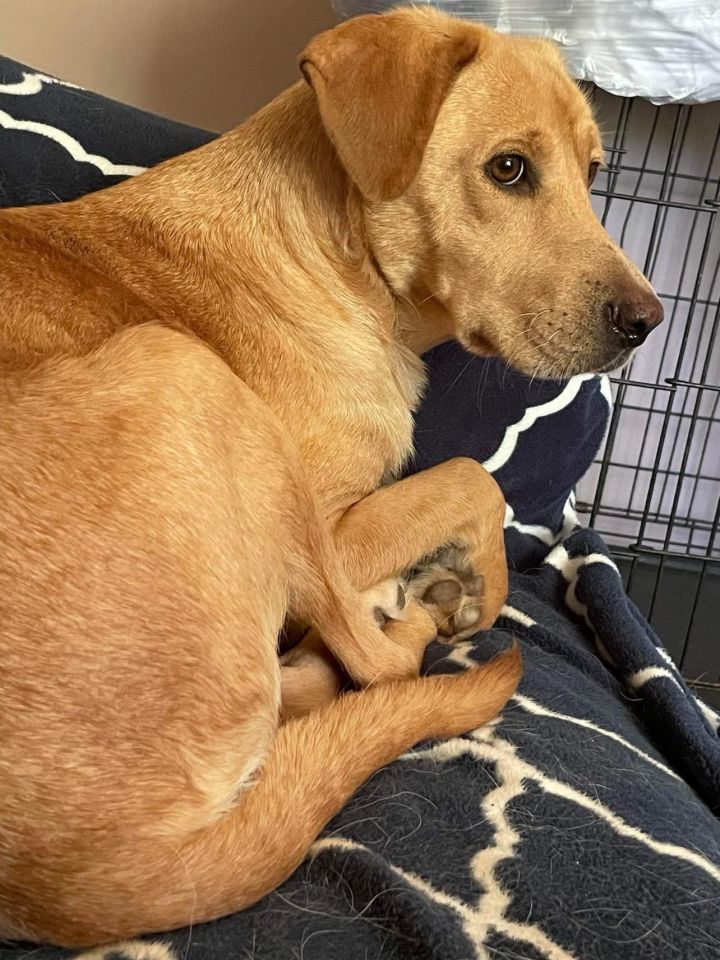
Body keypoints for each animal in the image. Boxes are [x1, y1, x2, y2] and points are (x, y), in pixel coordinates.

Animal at [0, 7, 664, 948]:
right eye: (508, 169)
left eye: (596, 172)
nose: (648, 323)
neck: (329, 254)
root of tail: (75, 881)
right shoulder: (333, 524)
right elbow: (473, 480)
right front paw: (478, 587)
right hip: (188, 376)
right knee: (377, 669)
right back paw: (410, 614)